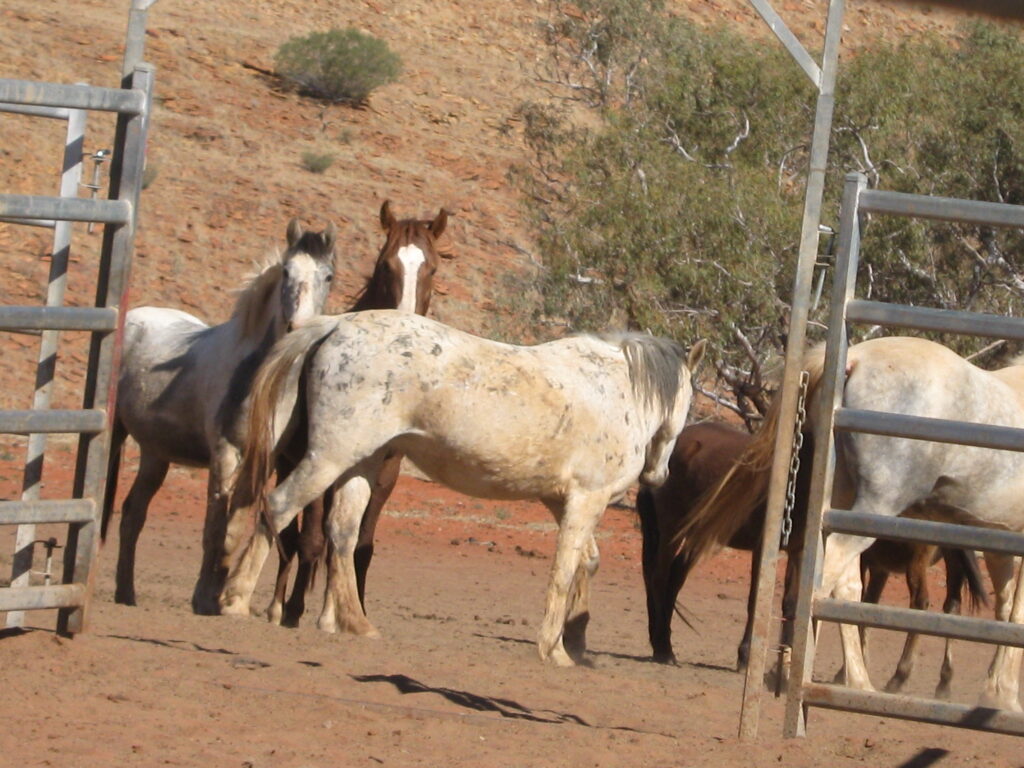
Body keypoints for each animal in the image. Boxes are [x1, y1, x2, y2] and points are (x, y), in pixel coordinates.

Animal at [100, 218, 337, 611]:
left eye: (328, 276)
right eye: (287, 271)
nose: (298, 328)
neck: (258, 380)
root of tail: (134, 316)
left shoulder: (261, 462)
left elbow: (235, 527)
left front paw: (217, 596)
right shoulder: (225, 454)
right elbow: (214, 528)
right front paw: (203, 597)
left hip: (155, 454)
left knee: (133, 513)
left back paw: (126, 593)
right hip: (115, 436)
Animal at [220, 310, 706, 666]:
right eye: (688, 400)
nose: (658, 476)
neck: (615, 389)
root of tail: (336, 324)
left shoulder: (561, 500)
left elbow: (586, 563)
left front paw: (577, 639)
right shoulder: (587, 499)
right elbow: (565, 569)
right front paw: (555, 648)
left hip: (360, 462)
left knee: (342, 533)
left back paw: (356, 624)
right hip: (330, 458)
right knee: (278, 507)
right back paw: (235, 600)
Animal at [266, 201, 447, 628]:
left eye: (432, 268)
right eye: (385, 265)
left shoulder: (385, 473)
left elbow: (360, 545)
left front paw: (349, 611)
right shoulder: (324, 464)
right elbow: (312, 540)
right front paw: (297, 611)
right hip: (293, 465)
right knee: (289, 535)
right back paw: (277, 606)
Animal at [639, 421, 985, 699]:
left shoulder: (800, 552)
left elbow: (792, 603)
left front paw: (781, 662)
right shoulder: (769, 547)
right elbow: (758, 600)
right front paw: (752, 656)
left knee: (672, 580)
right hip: (672, 529)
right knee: (659, 577)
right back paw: (663, 648)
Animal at [676, 336, 1024, 710]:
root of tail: (854, 359)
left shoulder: (1001, 542)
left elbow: (1006, 611)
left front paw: (995, 692)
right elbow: (1017, 614)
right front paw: (1005, 695)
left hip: (842, 506)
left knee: (845, 586)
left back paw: (856, 681)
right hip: (875, 508)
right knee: (822, 582)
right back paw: (793, 672)